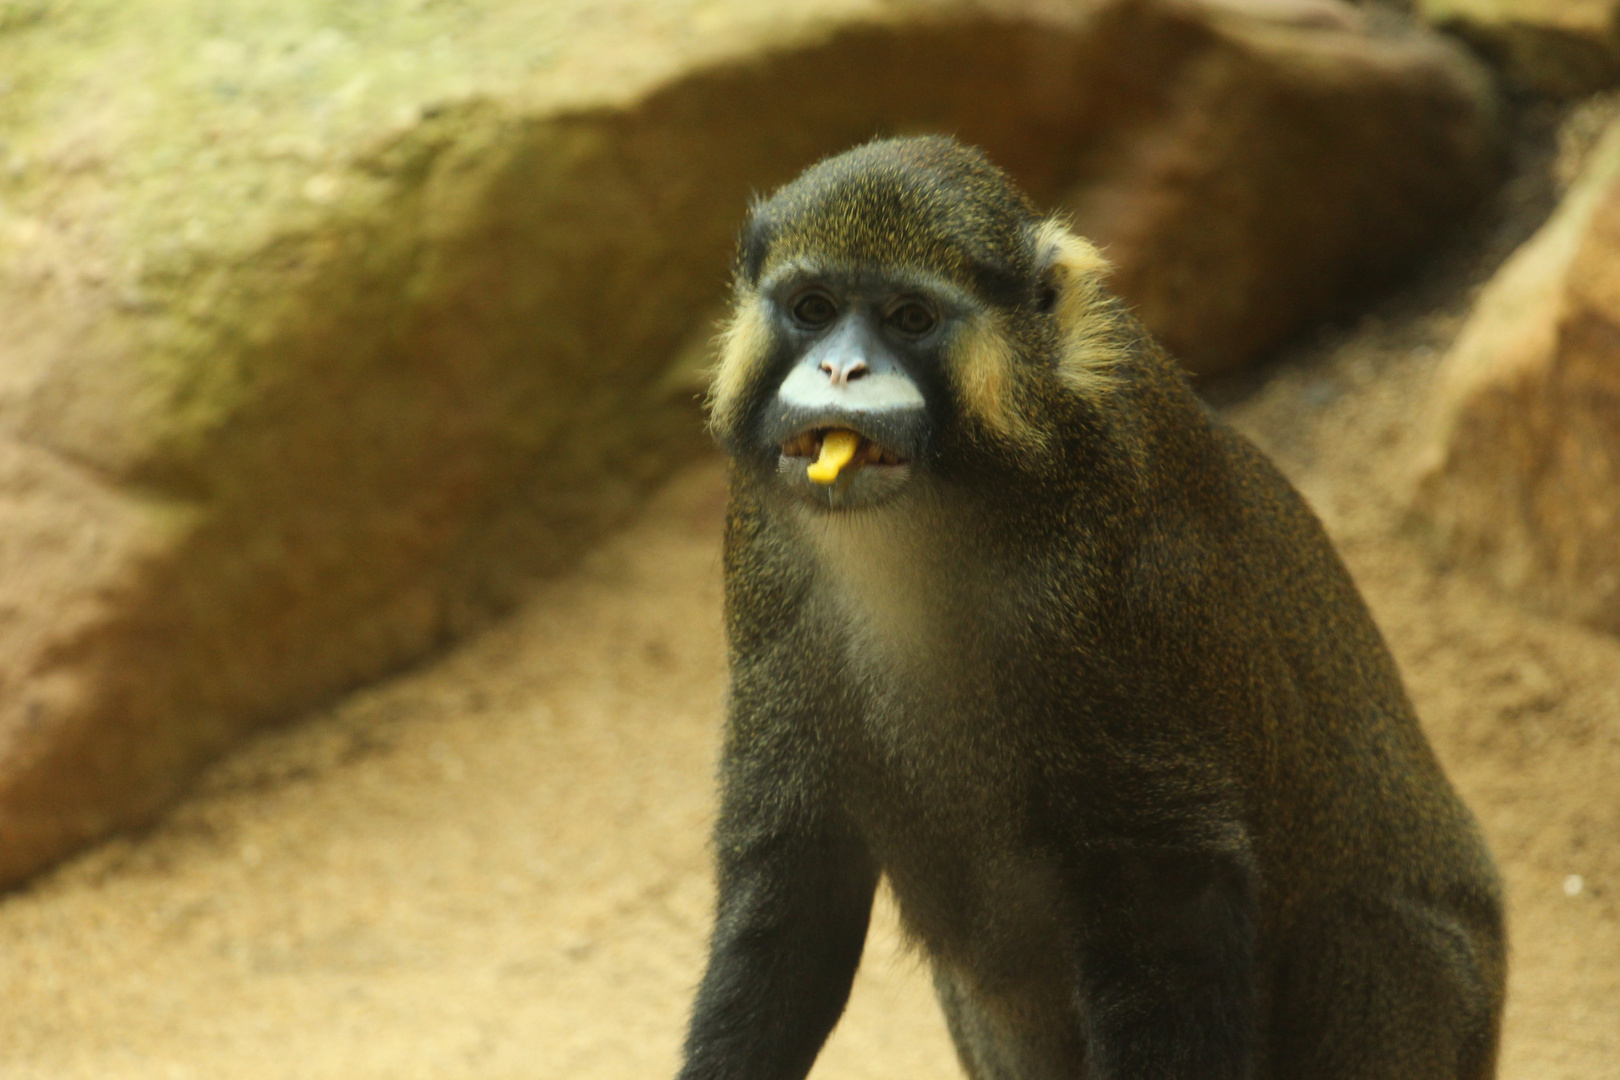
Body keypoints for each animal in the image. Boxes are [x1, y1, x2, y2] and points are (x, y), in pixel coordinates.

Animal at [673, 135, 1503, 1080]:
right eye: (812, 308)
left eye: (909, 318)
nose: (842, 368)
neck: (942, 512)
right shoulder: (760, 560)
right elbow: (794, 888)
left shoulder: (1123, 585)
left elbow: (1168, 899)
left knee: (1369, 938)